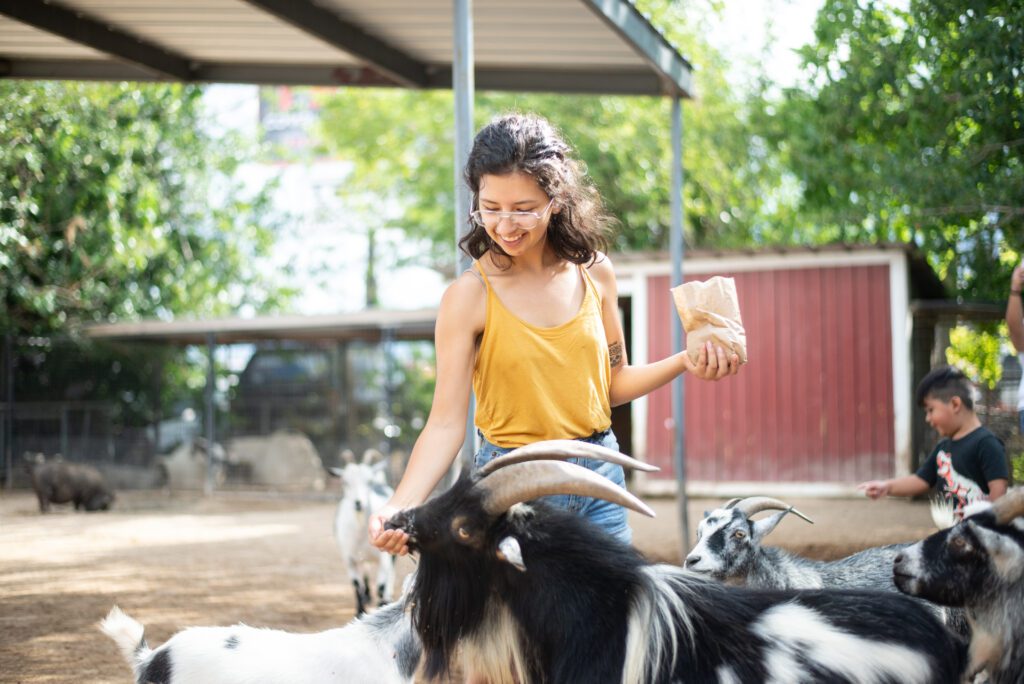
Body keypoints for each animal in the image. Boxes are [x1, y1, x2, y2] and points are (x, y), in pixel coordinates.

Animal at [329, 448, 393, 614]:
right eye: (344, 482)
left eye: (369, 481)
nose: (358, 503)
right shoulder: (349, 559)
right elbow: (356, 586)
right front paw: (359, 612)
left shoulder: (384, 557)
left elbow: (381, 587)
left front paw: (382, 607)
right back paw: (367, 596)